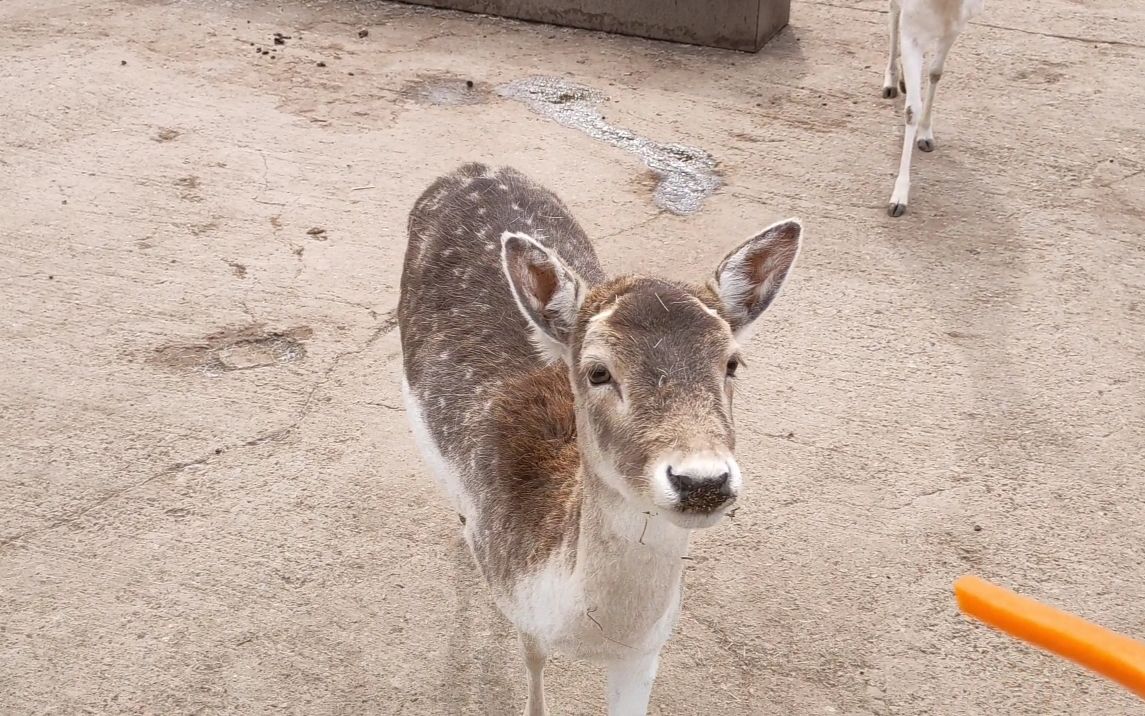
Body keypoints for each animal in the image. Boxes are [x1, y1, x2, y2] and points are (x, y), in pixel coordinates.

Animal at [398, 163, 801, 714]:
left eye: (733, 363)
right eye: (597, 372)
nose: (702, 481)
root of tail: (473, 168)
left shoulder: (646, 652)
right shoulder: (521, 610)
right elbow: (533, 671)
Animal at [879, 0, 980, 215]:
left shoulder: (953, 29)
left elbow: (935, 73)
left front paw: (925, 134)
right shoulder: (911, 32)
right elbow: (911, 110)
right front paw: (898, 199)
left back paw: (903, 81)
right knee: (893, 13)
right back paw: (891, 82)